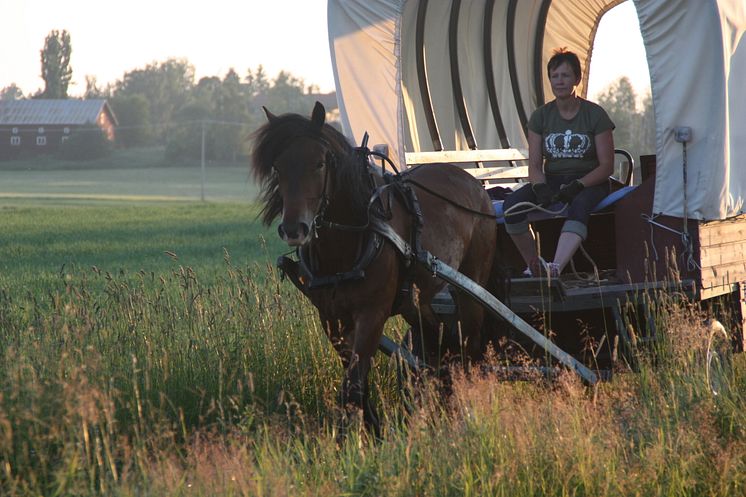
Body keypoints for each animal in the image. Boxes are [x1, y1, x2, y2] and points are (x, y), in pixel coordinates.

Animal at [250, 101, 494, 434]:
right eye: (278, 167)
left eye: (319, 164)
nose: (293, 229)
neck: (347, 247)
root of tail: (474, 184)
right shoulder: (331, 318)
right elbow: (355, 384)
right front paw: (372, 430)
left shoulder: (372, 314)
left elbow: (353, 384)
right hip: (417, 301)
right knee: (437, 348)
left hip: (471, 290)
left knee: (469, 351)